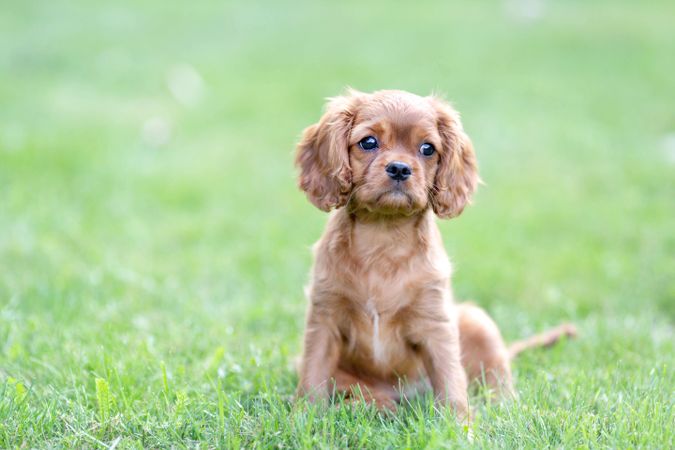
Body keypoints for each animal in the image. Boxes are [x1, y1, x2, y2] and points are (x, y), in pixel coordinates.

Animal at [294, 89, 576, 418]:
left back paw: (501, 407)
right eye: (368, 142)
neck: (383, 236)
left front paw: (459, 424)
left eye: (427, 148)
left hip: (477, 321)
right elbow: (314, 373)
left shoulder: (436, 324)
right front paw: (303, 416)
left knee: (497, 377)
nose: (400, 168)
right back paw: (372, 404)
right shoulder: (324, 318)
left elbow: (451, 379)